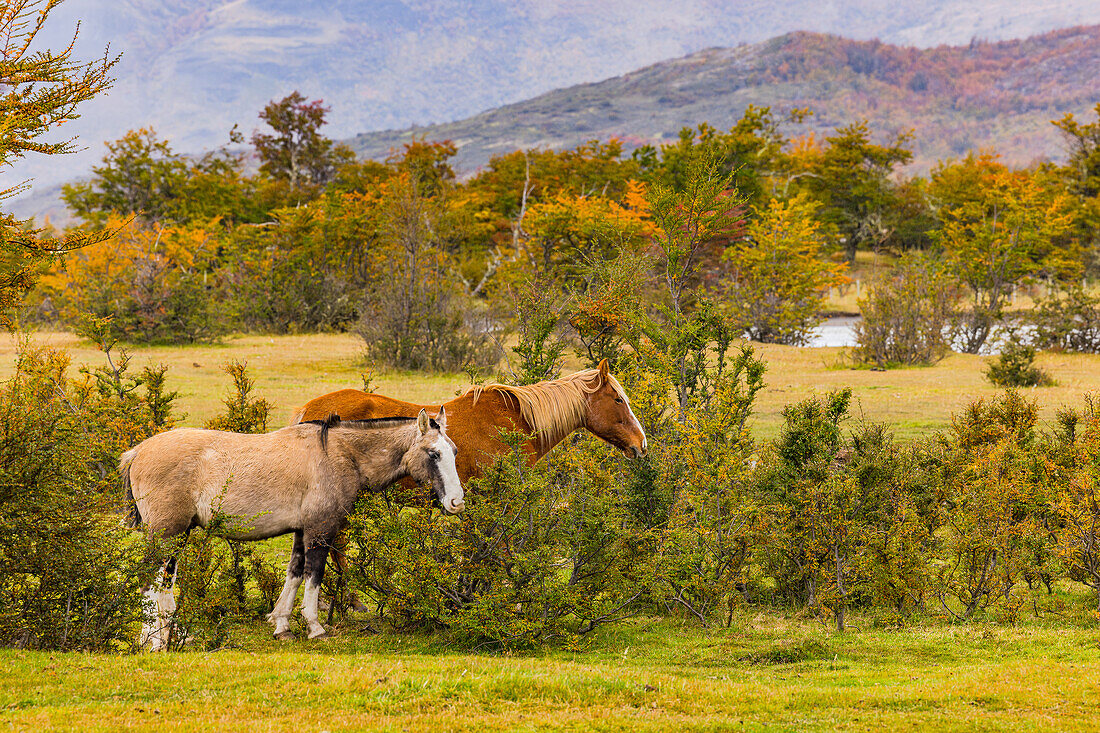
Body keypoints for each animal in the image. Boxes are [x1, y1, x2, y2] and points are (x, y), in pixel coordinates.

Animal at [122, 407, 462, 647]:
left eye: (454, 451)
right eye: (434, 453)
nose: (456, 501)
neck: (341, 454)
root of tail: (138, 451)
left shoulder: (302, 531)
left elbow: (295, 574)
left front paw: (282, 625)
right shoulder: (320, 530)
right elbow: (314, 575)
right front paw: (314, 626)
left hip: (178, 536)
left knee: (165, 583)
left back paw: (175, 633)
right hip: (166, 534)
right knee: (149, 582)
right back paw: (152, 640)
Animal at [297, 356, 646, 607]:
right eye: (618, 399)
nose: (640, 444)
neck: (514, 422)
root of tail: (308, 410)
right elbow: (498, 552)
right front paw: (503, 599)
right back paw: (349, 600)